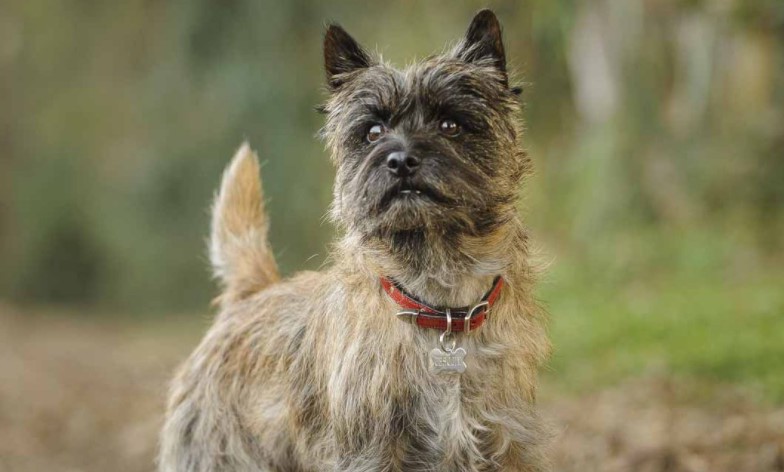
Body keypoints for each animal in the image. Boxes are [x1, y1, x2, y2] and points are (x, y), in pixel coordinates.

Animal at [159, 9, 552, 470]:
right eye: (373, 131)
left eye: (451, 124)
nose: (400, 160)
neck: (440, 304)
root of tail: (253, 294)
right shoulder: (369, 451)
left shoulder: (505, 441)